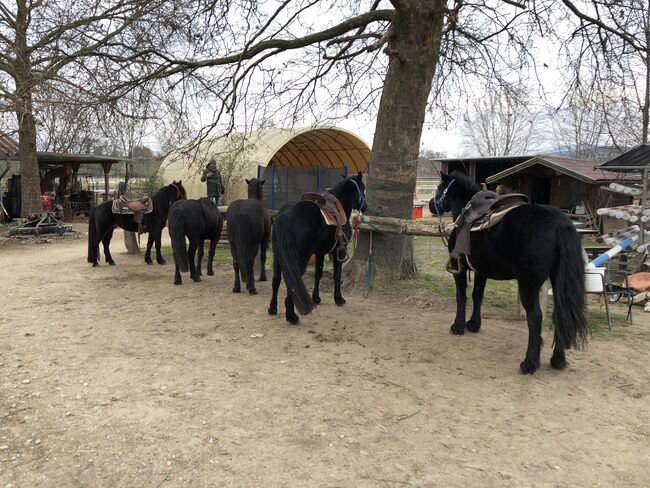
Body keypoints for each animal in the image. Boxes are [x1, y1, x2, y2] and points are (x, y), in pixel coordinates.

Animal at [268, 172, 364, 324]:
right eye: (363, 187)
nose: (365, 207)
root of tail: (284, 215)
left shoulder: (320, 252)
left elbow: (318, 273)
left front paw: (316, 297)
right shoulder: (339, 251)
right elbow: (337, 274)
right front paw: (339, 298)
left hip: (278, 256)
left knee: (276, 279)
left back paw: (273, 308)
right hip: (299, 259)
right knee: (293, 281)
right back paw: (292, 316)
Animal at [430, 172, 588, 374]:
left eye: (440, 188)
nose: (430, 205)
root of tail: (560, 224)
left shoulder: (459, 269)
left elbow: (461, 296)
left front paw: (458, 326)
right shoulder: (482, 272)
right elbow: (477, 296)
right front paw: (473, 324)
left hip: (528, 285)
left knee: (535, 318)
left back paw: (529, 363)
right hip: (557, 281)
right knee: (559, 314)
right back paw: (558, 359)